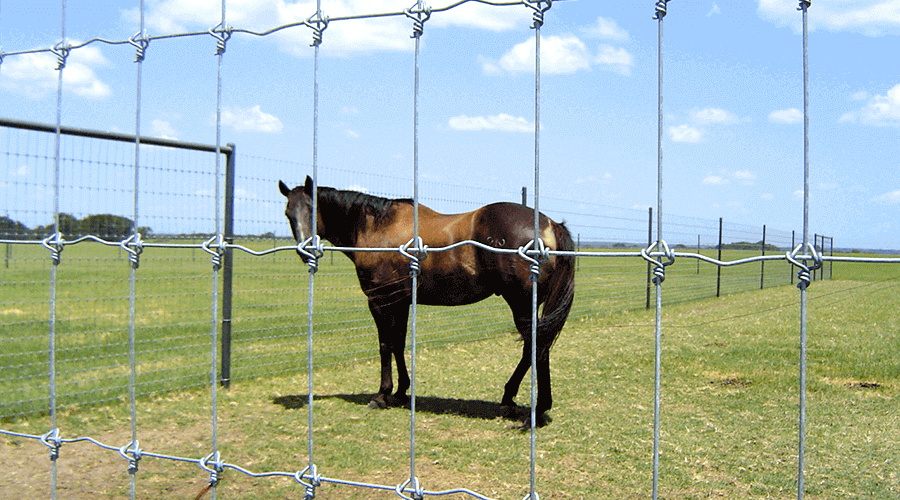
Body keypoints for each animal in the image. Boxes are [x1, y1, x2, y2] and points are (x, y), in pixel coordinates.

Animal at [282, 178, 576, 424]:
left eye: (312, 209)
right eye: (288, 213)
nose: (305, 251)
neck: (378, 227)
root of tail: (550, 225)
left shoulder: (379, 300)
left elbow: (385, 345)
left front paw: (382, 395)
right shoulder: (401, 301)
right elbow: (399, 343)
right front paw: (401, 391)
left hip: (521, 305)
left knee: (535, 348)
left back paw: (532, 405)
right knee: (535, 349)